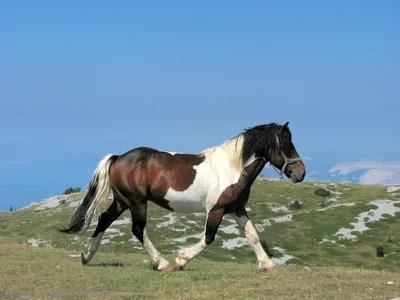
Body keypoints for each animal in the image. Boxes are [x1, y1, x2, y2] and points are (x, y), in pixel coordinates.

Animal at [58, 121, 306, 272]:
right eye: (286, 145)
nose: (301, 173)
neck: (233, 168)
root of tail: (119, 157)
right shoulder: (215, 210)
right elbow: (208, 238)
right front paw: (181, 260)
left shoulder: (236, 208)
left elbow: (253, 235)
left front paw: (267, 265)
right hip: (137, 202)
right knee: (138, 229)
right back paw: (162, 263)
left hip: (122, 202)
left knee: (104, 220)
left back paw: (86, 256)